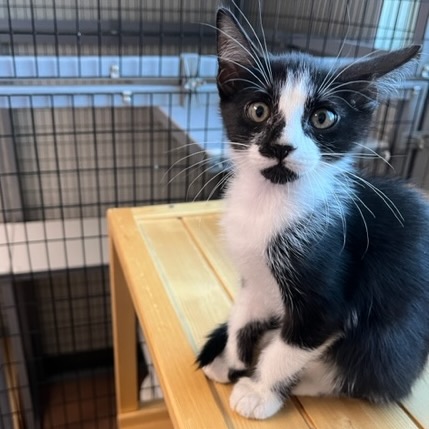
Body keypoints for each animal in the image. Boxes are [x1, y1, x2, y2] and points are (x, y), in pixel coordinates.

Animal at [196, 7, 429, 421]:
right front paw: (232, 359)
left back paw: (304, 381)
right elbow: (243, 312)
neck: (269, 203)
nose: (280, 147)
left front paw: (260, 390)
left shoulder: (329, 297)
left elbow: (292, 347)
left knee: (370, 368)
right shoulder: (254, 276)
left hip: (394, 338)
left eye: (323, 118)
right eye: (258, 110)